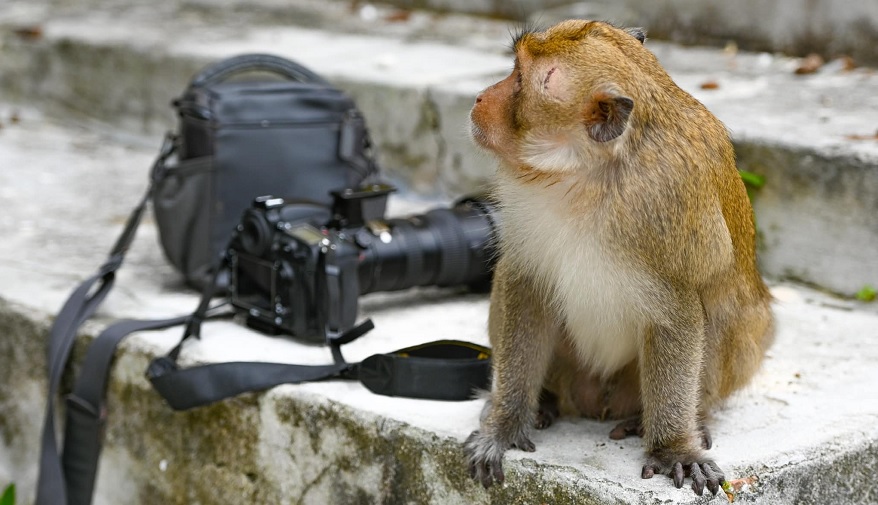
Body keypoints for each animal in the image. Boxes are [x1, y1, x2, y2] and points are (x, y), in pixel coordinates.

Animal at [464, 20, 774, 496]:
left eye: (518, 78)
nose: (481, 97)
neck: (587, 173)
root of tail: (598, 400)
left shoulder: (668, 211)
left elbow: (678, 313)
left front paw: (673, 449)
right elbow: (525, 286)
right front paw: (504, 424)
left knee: (729, 310)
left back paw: (678, 418)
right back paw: (544, 401)